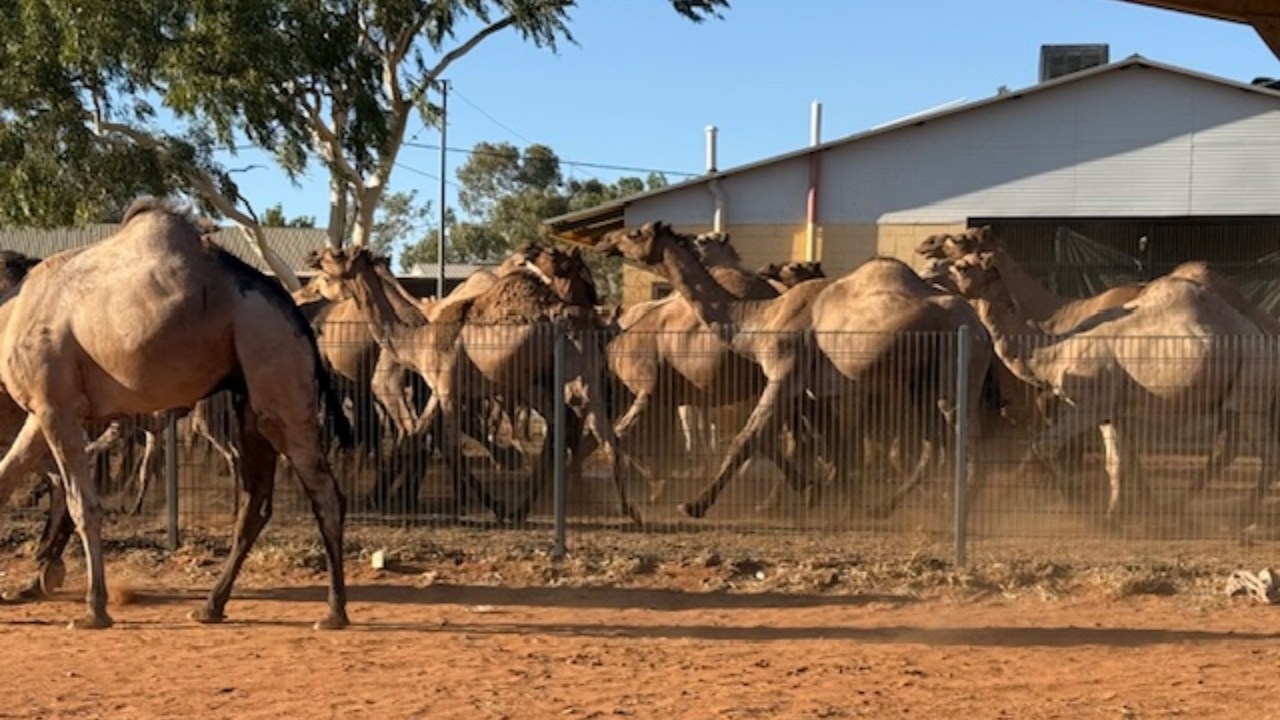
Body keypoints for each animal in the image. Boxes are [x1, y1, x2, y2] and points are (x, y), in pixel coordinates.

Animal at [0, 198, 351, 629]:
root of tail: (290, 306)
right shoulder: (40, 411)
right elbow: (6, 480)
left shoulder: (56, 405)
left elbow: (83, 504)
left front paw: (94, 609)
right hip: (250, 395)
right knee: (255, 501)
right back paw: (210, 606)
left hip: (277, 364)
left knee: (325, 493)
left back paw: (334, 611)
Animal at [596, 222, 990, 520]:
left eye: (634, 233)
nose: (605, 241)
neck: (758, 319)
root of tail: (981, 328)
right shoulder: (809, 389)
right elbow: (826, 445)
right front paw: (836, 501)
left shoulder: (784, 372)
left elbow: (747, 438)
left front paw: (693, 505)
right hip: (920, 383)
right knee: (933, 448)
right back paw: (884, 508)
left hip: (958, 370)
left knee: (967, 441)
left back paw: (963, 510)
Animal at [947, 250, 1279, 517]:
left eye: (962, 266)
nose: (936, 277)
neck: (1052, 350)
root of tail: (1263, 333)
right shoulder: (1110, 412)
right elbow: (1115, 463)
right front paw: (1112, 515)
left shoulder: (1086, 407)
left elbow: (1044, 447)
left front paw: (1083, 509)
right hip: (1233, 398)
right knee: (1231, 448)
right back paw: (1179, 509)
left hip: (1252, 385)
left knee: (1265, 453)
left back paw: (1240, 519)